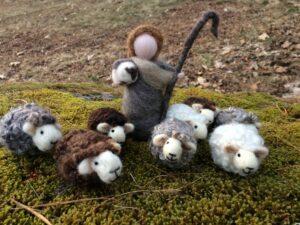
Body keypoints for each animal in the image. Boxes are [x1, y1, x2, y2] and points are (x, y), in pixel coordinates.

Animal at [111, 11, 219, 141]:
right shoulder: (146, 69)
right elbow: (163, 78)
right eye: (123, 81)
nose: (133, 76)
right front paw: (177, 76)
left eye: (130, 71)